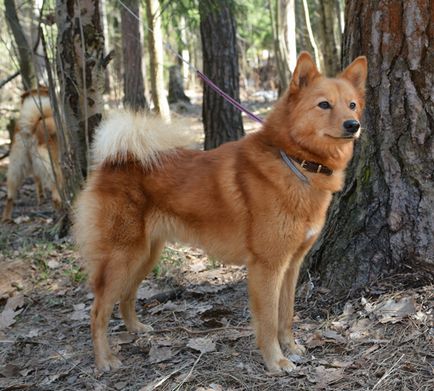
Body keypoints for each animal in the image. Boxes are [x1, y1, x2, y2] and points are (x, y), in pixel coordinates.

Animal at [1, 87, 62, 222]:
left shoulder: (35, 171)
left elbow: (38, 184)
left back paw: (6, 218)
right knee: (55, 191)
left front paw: (41, 199)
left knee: (10, 196)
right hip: (51, 166)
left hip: (16, 168)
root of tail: (30, 127)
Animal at [73, 52, 366, 374]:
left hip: (145, 255)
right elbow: (268, 320)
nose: (353, 125)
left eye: (352, 104)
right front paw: (275, 360)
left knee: (127, 295)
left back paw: (136, 328)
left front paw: (291, 346)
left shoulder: (291, 265)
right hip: (122, 257)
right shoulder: (267, 266)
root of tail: (116, 160)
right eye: (324, 104)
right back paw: (104, 359)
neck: (295, 161)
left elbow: (286, 314)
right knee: (97, 311)